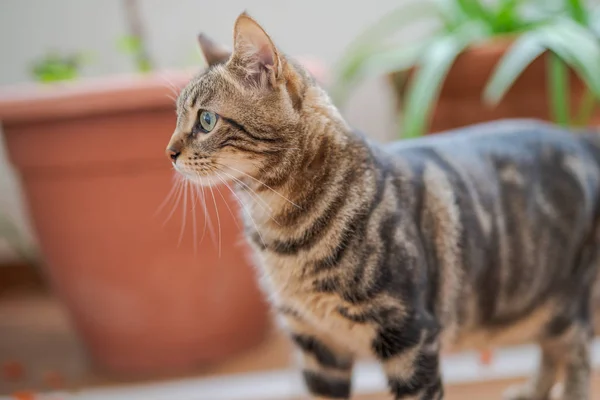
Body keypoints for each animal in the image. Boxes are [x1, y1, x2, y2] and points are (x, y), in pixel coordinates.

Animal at [165, 12, 600, 400]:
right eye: (176, 118)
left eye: (206, 120)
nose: (169, 152)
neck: (281, 232)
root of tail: (578, 137)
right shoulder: (318, 348)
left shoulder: (409, 337)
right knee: (552, 351)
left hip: (568, 302)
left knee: (576, 353)